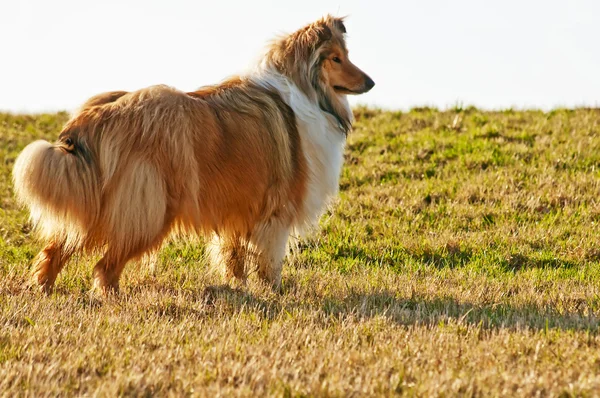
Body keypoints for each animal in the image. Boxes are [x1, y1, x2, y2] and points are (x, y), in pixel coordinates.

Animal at [11, 15, 372, 294]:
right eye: (336, 58)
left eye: (345, 54)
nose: (371, 82)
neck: (304, 91)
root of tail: (99, 115)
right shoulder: (275, 211)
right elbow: (270, 262)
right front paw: (272, 292)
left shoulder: (238, 209)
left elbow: (234, 256)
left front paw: (239, 287)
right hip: (150, 211)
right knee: (104, 266)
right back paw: (111, 297)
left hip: (95, 201)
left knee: (56, 249)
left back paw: (43, 289)